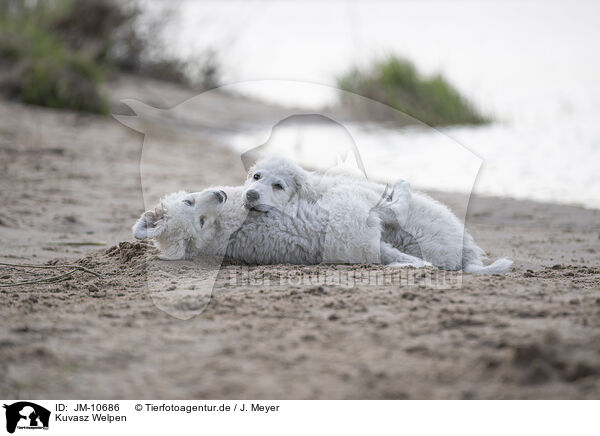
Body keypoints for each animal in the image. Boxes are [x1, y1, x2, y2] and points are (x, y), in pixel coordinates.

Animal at [244, 156, 510, 272]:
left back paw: (401, 185)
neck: (314, 192)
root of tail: (466, 250)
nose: (250, 195)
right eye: (256, 176)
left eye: (278, 186)